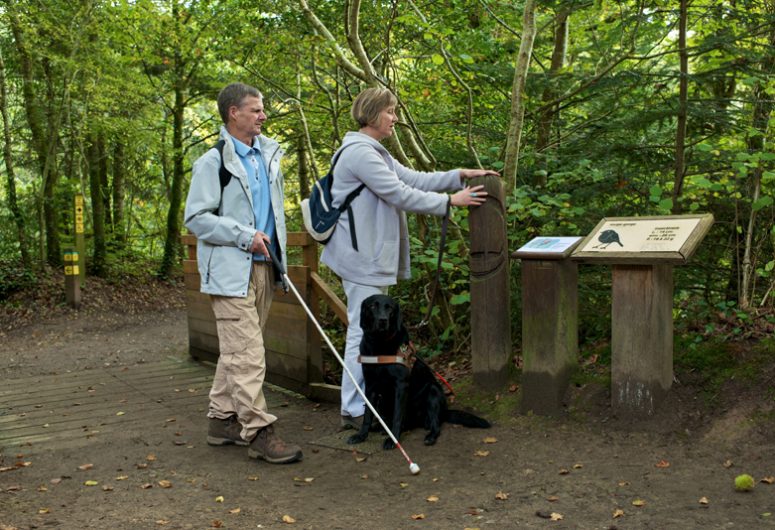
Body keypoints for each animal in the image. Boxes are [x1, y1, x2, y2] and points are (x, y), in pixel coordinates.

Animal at [348, 294, 488, 448]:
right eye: (372, 306)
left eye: (390, 308)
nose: (383, 320)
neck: (380, 345)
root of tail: (444, 412)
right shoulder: (370, 386)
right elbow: (368, 414)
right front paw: (361, 435)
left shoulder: (401, 385)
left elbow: (397, 415)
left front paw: (393, 439)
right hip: (382, 401)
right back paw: (380, 427)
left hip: (433, 392)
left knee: (435, 424)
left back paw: (428, 436)